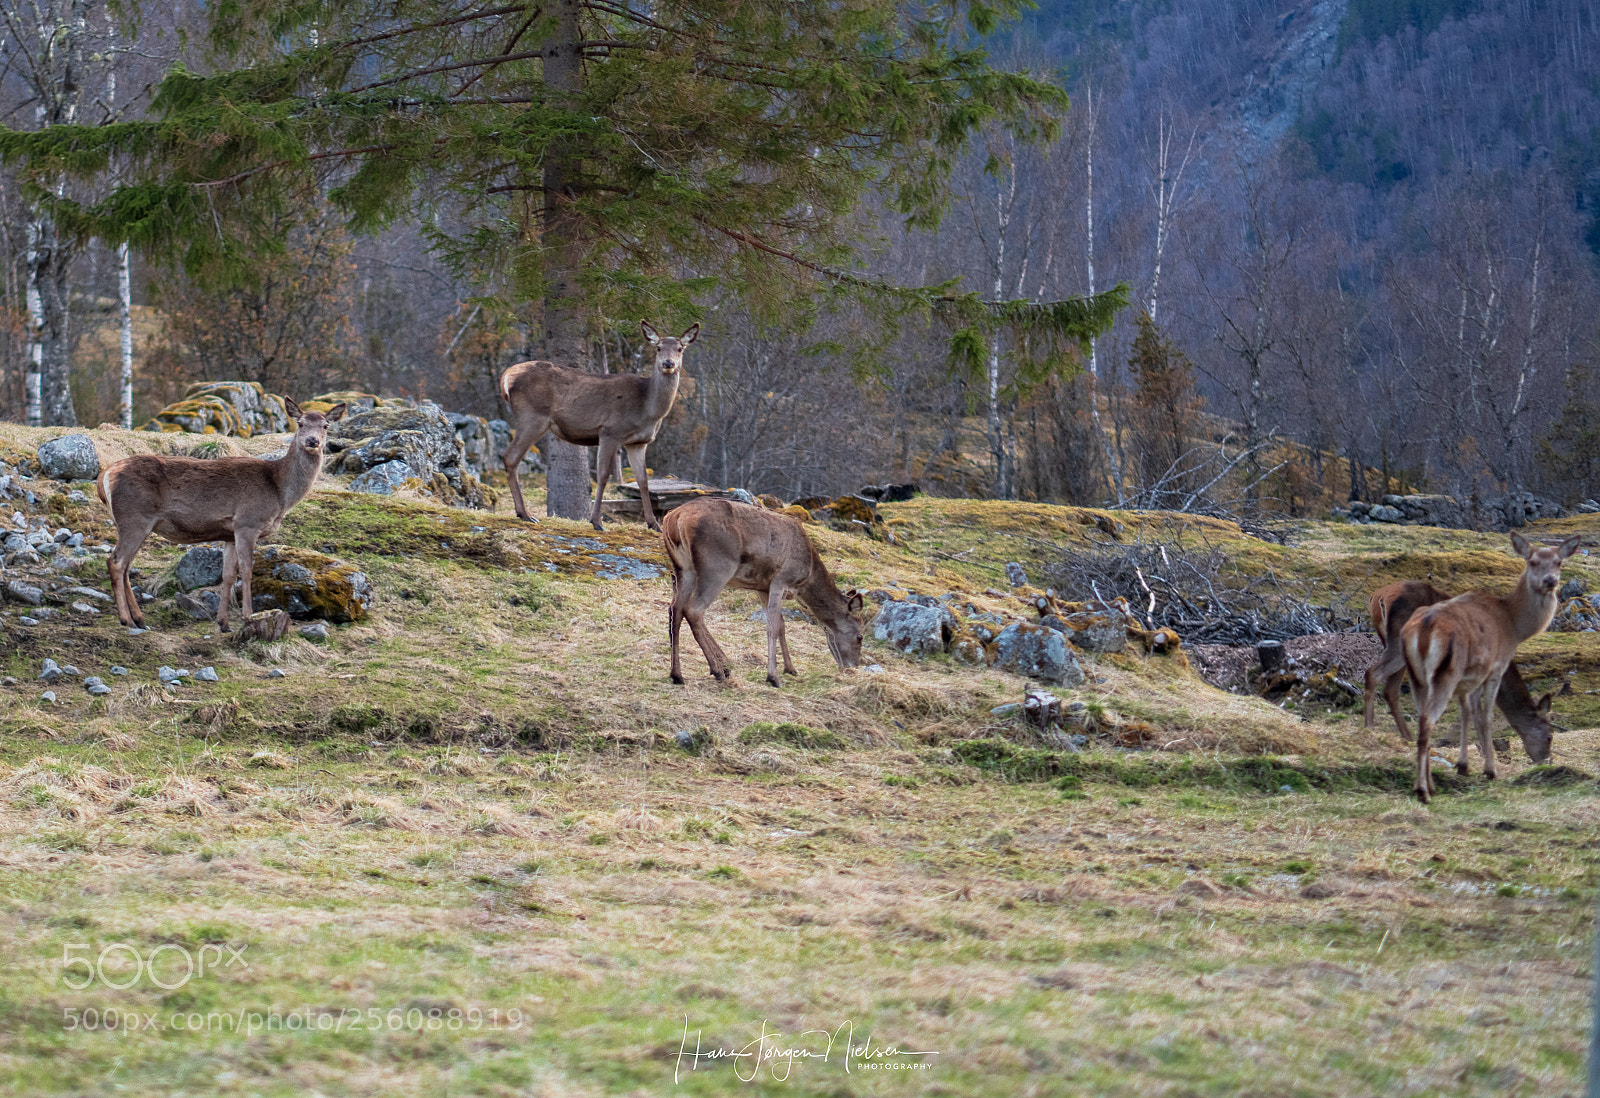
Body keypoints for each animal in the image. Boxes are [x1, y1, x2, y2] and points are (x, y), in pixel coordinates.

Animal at [97, 399, 346, 632]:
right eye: (300, 423)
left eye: (325, 425)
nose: (312, 441)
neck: (278, 490)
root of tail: (105, 475)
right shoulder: (247, 522)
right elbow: (246, 571)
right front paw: (247, 616)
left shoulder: (229, 534)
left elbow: (227, 576)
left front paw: (223, 623)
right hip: (135, 517)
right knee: (116, 562)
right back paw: (127, 619)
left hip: (138, 523)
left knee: (125, 565)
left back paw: (139, 619)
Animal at [499, 321, 697, 532]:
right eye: (658, 347)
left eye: (680, 348)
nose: (668, 363)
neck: (648, 408)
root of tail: (506, 376)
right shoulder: (610, 431)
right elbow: (602, 476)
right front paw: (596, 522)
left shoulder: (638, 442)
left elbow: (643, 481)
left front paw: (654, 524)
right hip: (532, 417)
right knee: (510, 457)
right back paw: (525, 514)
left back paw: (523, 513)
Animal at [662, 497, 865, 688]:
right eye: (860, 636)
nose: (853, 666)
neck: (807, 576)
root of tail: (674, 518)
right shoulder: (780, 580)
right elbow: (773, 626)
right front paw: (772, 677)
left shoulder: (762, 587)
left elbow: (781, 625)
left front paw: (790, 668)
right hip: (717, 567)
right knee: (694, 610)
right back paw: (718, 670)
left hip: (683, 567)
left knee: (675, 608)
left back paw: (677, 674)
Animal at [1363, 579, 1555, 766]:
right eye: (1549, 736)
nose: (1547, 761)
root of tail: (1377, 597)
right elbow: (1477, 716)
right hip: (1399, 644)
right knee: (1372, 673)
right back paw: (1369, 727)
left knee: (1390, 689)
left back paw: (1407, 737)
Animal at [1400, 533, 1580, 803]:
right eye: (1533, 561)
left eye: (1559, 562)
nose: (1550, 581)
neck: (1512, 626)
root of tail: (1424, 628)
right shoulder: (1495, 668)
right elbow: (1485, 716)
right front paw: (1489, 770)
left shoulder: (1471, 678)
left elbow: (1467, 713)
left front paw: (1464, 765)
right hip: (1445, 674)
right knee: (1427, 722)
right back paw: (1422, 790)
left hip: (1415, 676)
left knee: (1422, 717)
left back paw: (1429, 784)